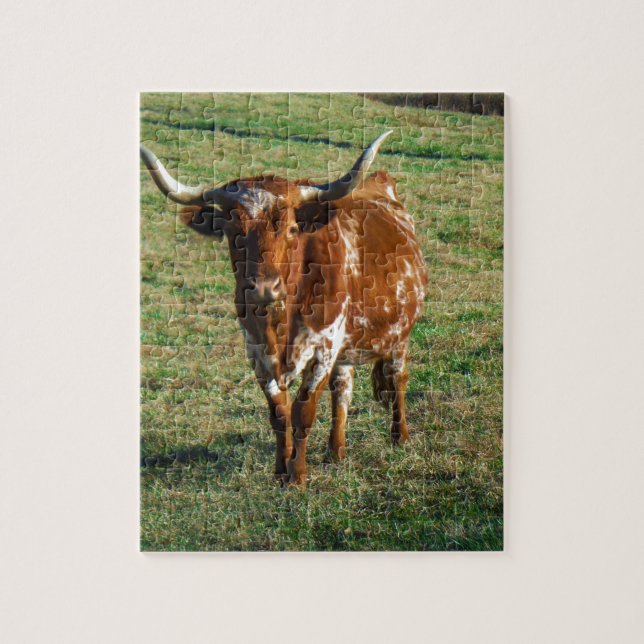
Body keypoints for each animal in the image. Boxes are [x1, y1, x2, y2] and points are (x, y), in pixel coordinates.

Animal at [140, 131, 427, 485]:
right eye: (232, 231)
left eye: (291, 228)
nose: (264, 289)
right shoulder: (258, 354)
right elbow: (279, 413)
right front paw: (280, 471)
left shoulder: (323, 349)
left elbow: (303, 411)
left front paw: (298, 477)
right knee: (343, 388)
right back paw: (335, 451)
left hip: (399, 334)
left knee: (398, 377)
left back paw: (400, 436)